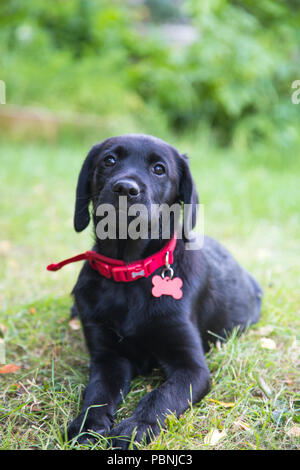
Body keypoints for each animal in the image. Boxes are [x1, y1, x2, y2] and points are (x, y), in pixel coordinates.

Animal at [61, 134, 262, 450]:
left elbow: (160, 397)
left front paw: (133, 430)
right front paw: (88, 425)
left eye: (159, 169)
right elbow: (97, 393)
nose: (125, 188)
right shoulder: (107, 357)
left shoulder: (191, 368)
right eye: (109, 160)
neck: (130, 274)